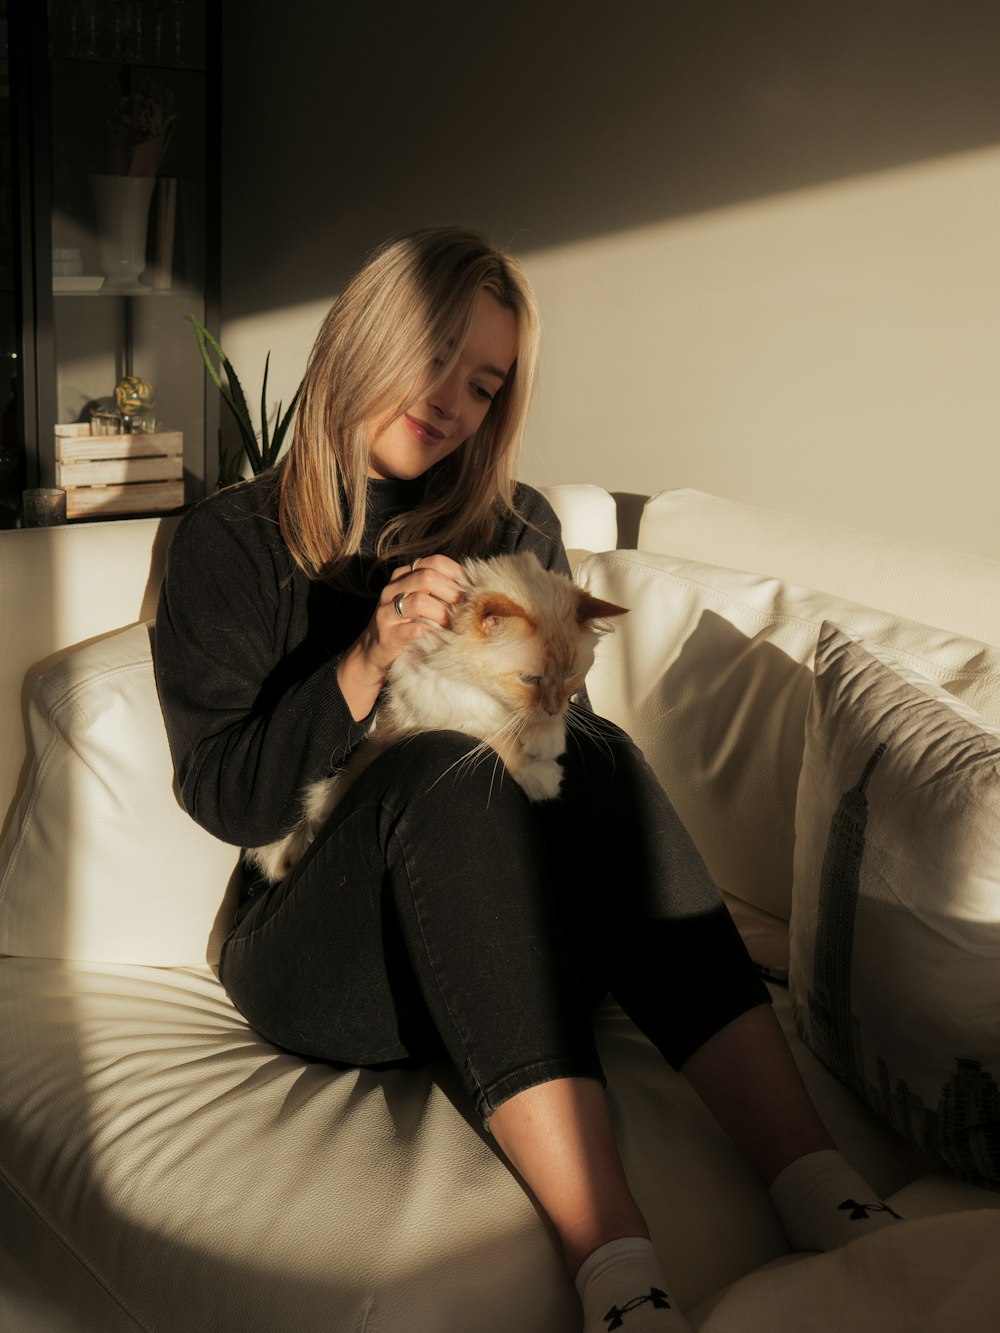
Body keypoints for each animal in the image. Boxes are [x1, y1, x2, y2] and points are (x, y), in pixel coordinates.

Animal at [250, 551, 626, 885]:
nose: (552, 706)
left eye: (570, 676)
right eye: (530, 679)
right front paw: (542, 775)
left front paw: (547, 736)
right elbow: (495, 737)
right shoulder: (437, 706)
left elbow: (533, 723)